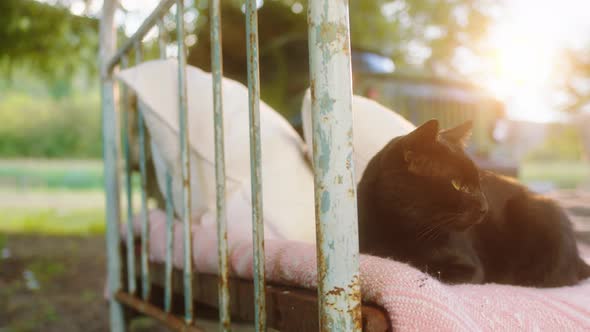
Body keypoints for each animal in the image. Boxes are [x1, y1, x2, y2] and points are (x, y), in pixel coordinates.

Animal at [358, 120, 590, 288]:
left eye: (479, 183)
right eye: (457, 184)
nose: (485, 208)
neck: (401, 230)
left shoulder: (470, 268)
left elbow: (426, 267)